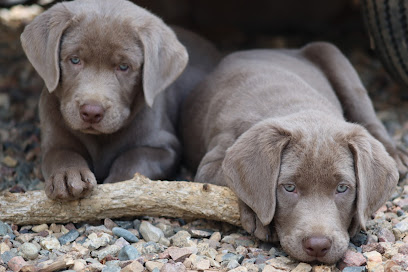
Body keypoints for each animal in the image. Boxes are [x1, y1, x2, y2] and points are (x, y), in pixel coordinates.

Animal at [21, 0, 220, 200]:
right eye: (75, 60)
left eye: (124, 66)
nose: (91, 112)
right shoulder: (53, 140)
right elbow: (62, 154)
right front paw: (68, 175)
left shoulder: (165, 147)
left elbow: (134, 157)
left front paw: (122, 183)